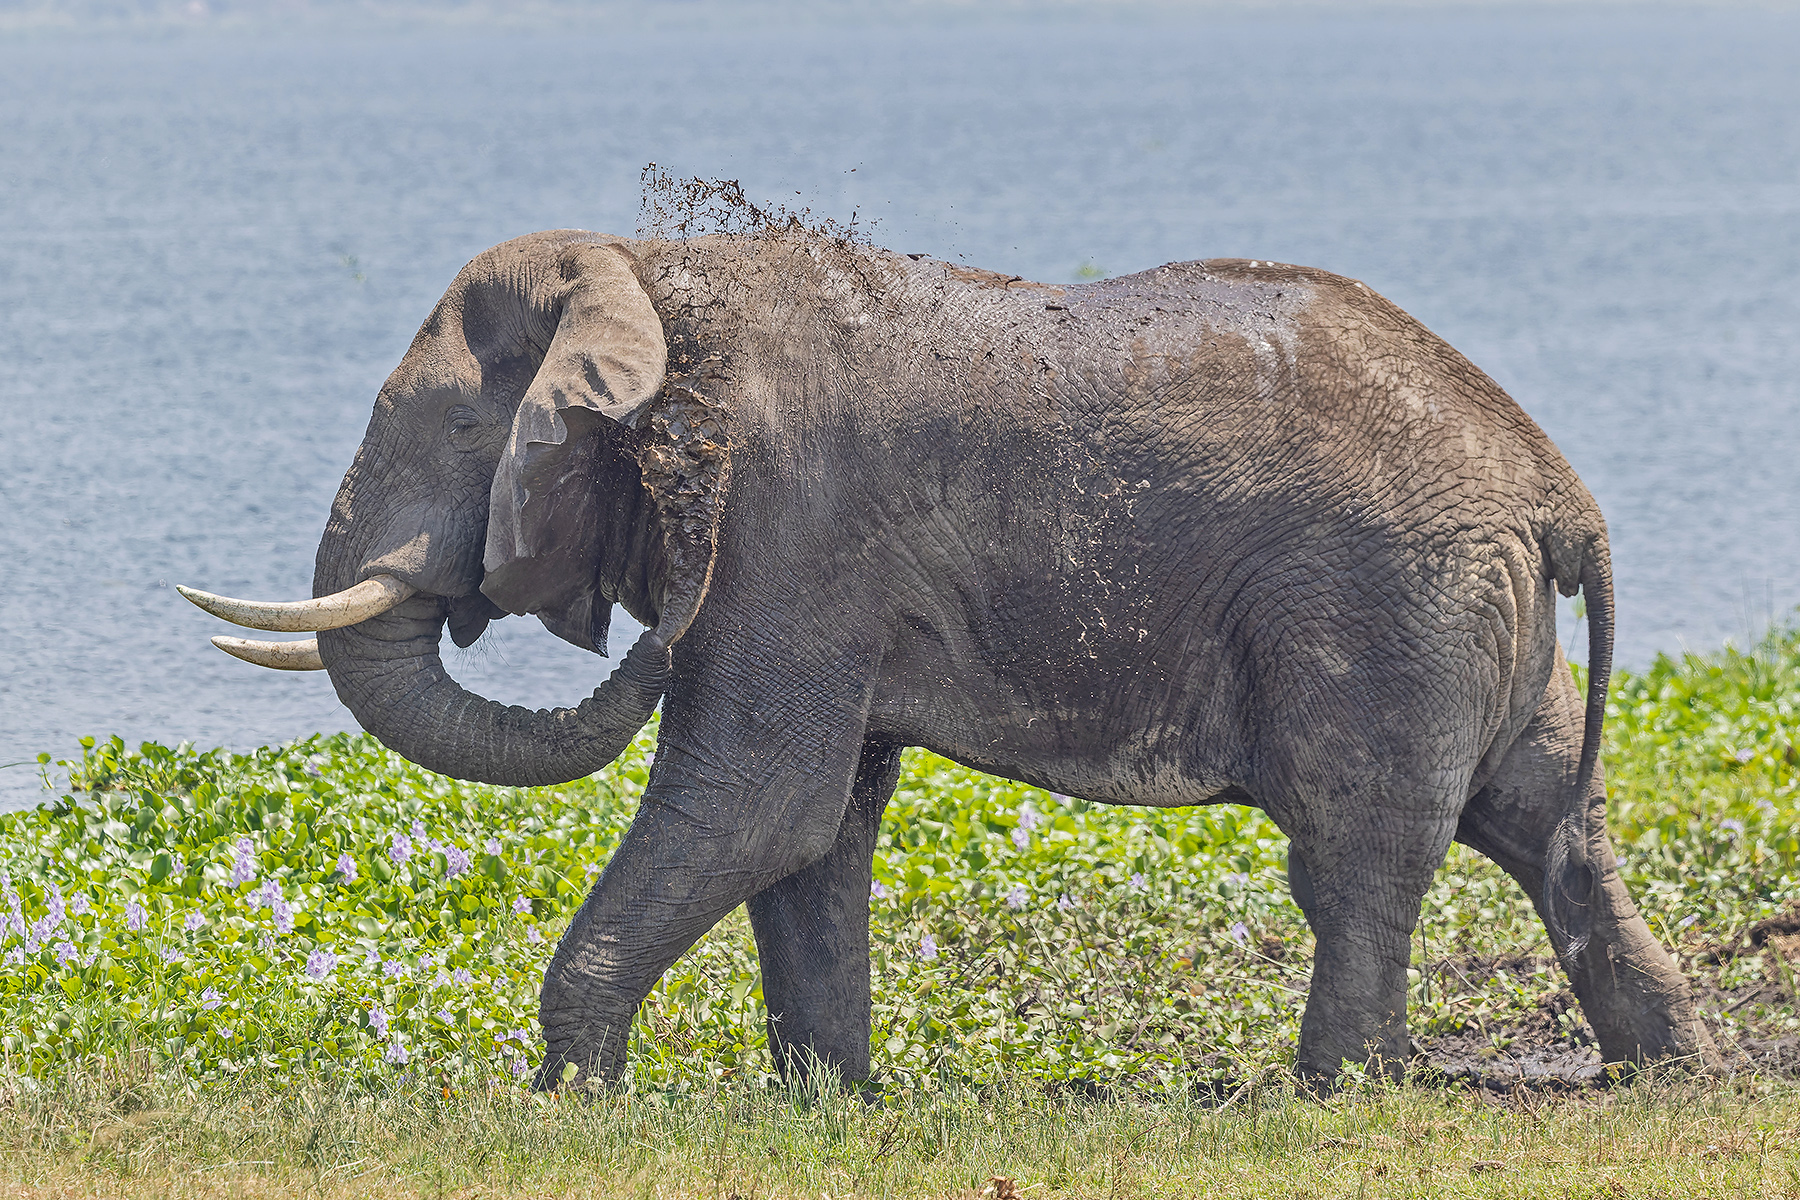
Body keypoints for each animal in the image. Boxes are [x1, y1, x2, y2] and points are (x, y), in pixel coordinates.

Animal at [181, 226, 1717, 1087]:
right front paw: (826, 1106)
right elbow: (812, 829)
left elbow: (763, 799)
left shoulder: (785, 529)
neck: (652, 280)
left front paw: (570, 1101)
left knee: (1354, 852)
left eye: (455, 430)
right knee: (1545, 818)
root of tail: (1554, 486)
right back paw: (1671, 1072)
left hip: (1384, 612)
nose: (656, 625)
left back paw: (1332, 1094)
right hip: (1467, 616)